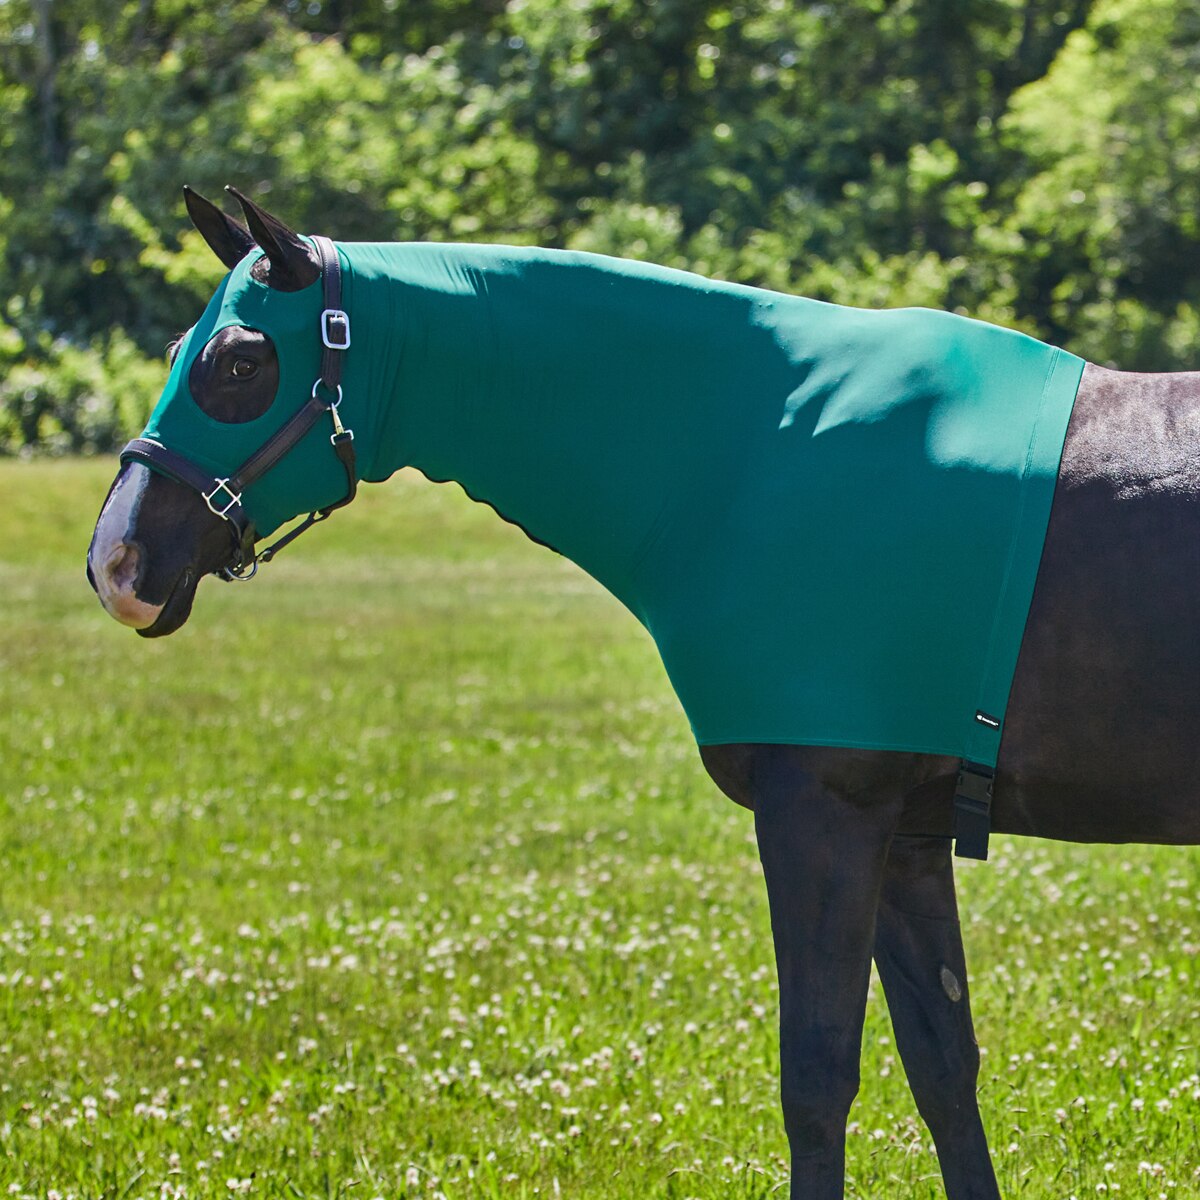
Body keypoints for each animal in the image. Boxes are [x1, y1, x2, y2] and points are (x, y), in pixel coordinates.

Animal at [86, 187, 1200, 1200]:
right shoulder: (910, 834)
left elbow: (817, 1082)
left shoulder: (824, 816)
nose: (118, 562)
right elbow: (941, 1074)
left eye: (241, 362)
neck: (753, 447)